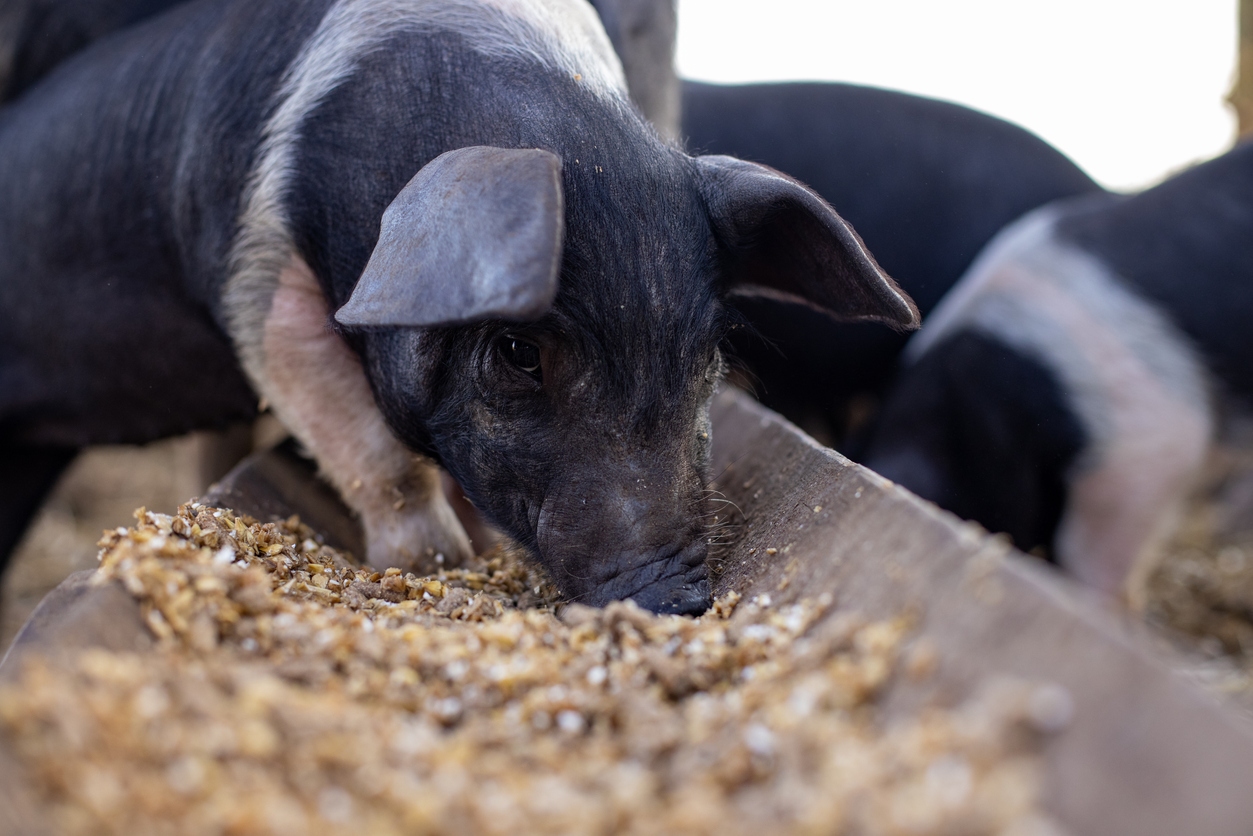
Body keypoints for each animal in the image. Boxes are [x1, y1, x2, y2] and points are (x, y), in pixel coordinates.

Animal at [0, 0, 922, 614]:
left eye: (707, 351)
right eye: (518, 351)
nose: (675, 595)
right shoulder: (258, 268)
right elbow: (374, 452)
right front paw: (435, 567)